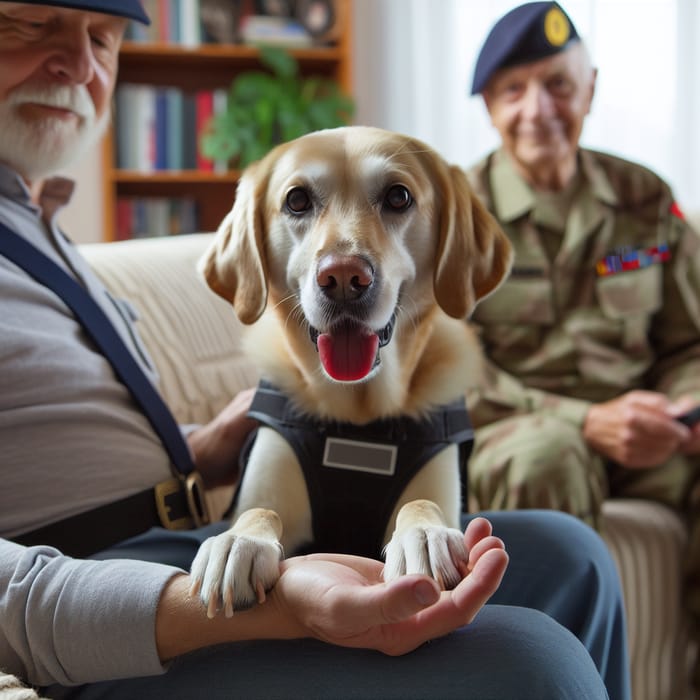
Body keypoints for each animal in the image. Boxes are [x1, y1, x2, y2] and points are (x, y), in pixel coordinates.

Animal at [189, 127, 512, 616]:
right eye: (297, 200)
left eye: (398, 196)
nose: (343, 278)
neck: (359, 415)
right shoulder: (266, 476)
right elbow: (259, 510)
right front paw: (238, 543)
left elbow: (422, 503)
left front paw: (425, 536)